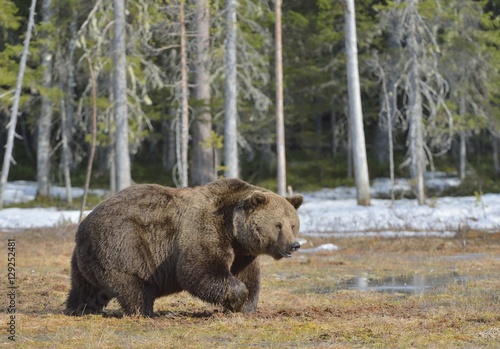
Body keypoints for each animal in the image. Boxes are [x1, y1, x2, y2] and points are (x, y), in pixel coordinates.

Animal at [65, 178, 302, 316]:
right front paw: (237, 298)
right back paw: (147, 312)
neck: (232, 230)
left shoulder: (243, 253)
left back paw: (78, 308)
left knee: (85, 288)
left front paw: (246, 308)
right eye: (278, 224)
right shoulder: (204, 230)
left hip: (85, 259)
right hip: (122, 246)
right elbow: (199, 270)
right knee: (133, 287)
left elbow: (248, 277)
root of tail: (83, 225)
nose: (294, 245)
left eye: (293, 224)